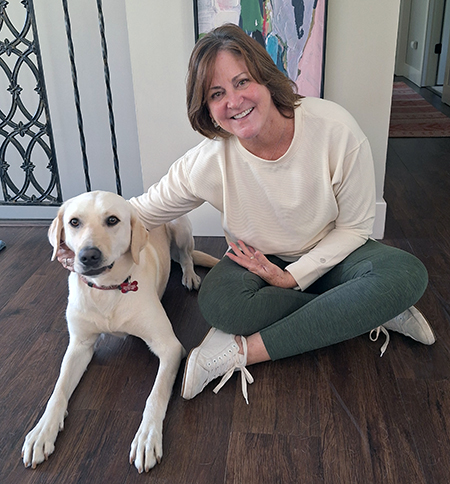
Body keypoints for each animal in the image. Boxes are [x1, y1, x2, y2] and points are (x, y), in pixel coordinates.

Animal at [22, 190, 219, 472]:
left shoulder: (170, 347)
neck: (106, 289)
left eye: (112, 220)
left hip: (180, 228)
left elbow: (155, 395)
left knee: (187, 256)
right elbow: (58, 391)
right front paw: (42, 432)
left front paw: (147, 438)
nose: (88, 255)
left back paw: (190, 275)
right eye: (74, 222)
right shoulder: (79, 346)